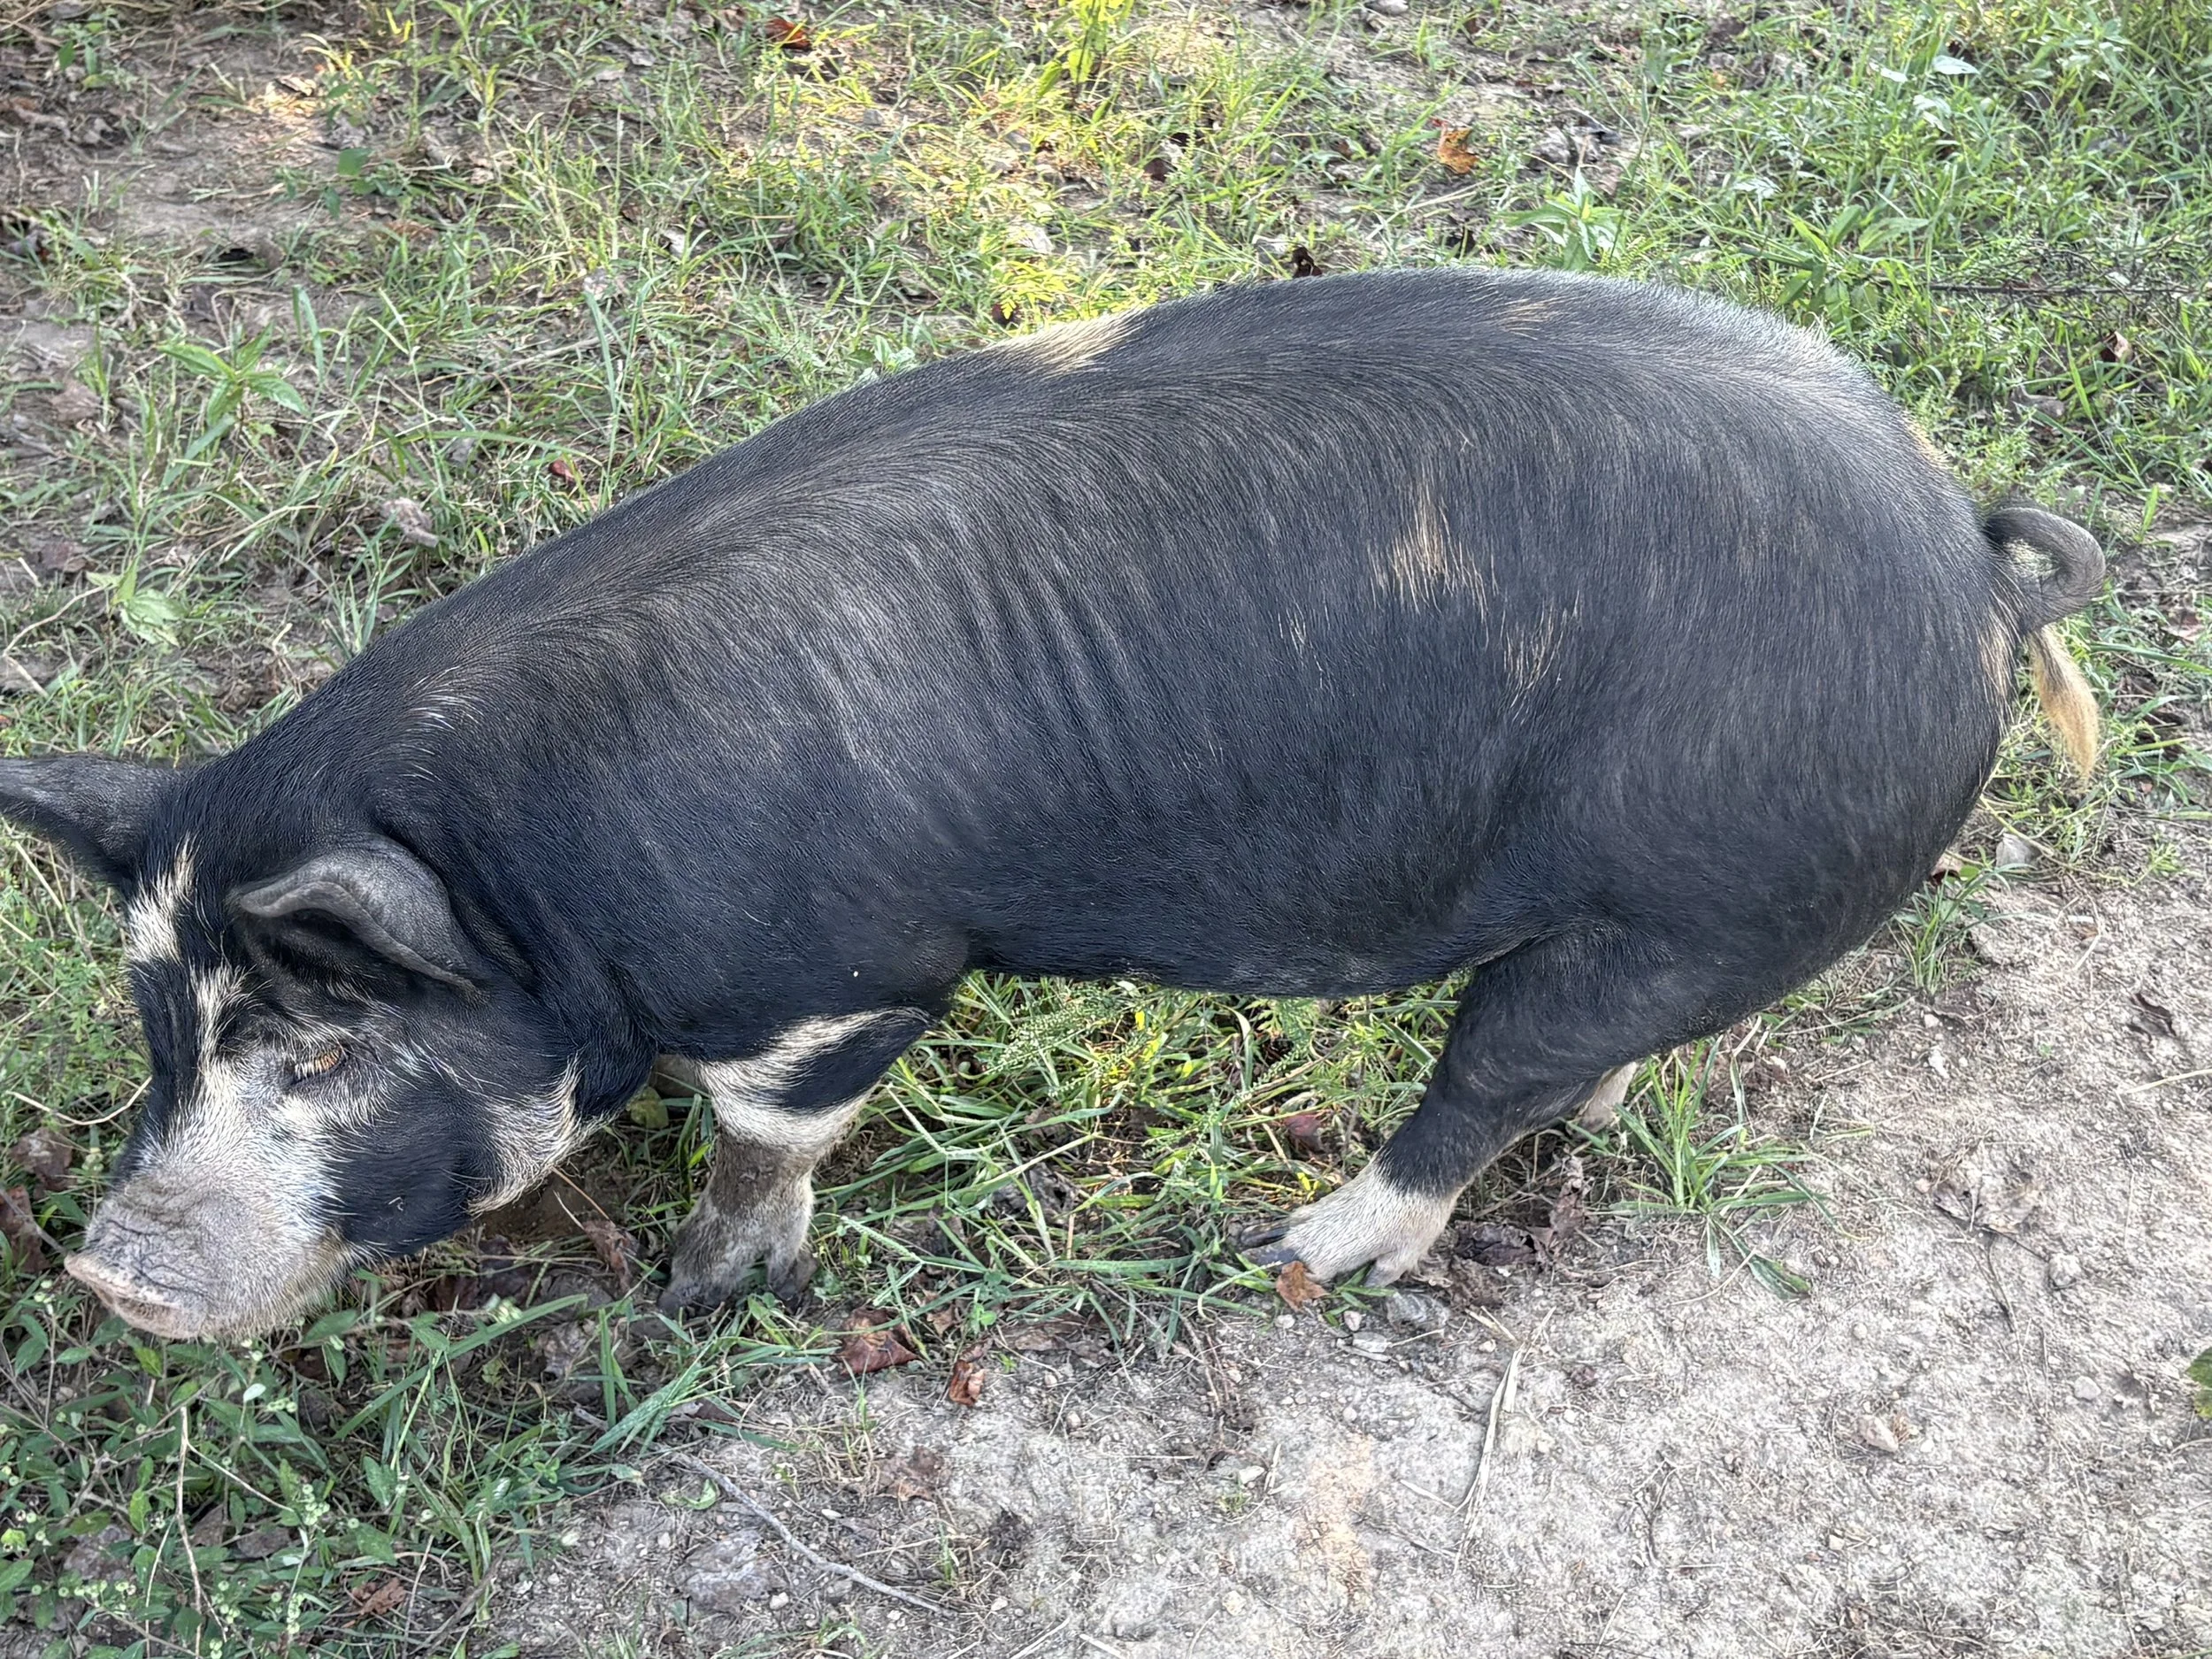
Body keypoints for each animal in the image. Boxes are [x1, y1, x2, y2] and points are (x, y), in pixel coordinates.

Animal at [0, 268, 2103, 1340]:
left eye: (325, 1051)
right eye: (163, 1035)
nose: (101, 1266)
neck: (536, 879)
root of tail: (1970, 564)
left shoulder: (842, 982)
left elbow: (767, 1139)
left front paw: (709, 1290)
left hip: (1689, 892)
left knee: (1486, 1081)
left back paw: (1304, 1256)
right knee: (1584, 1065)